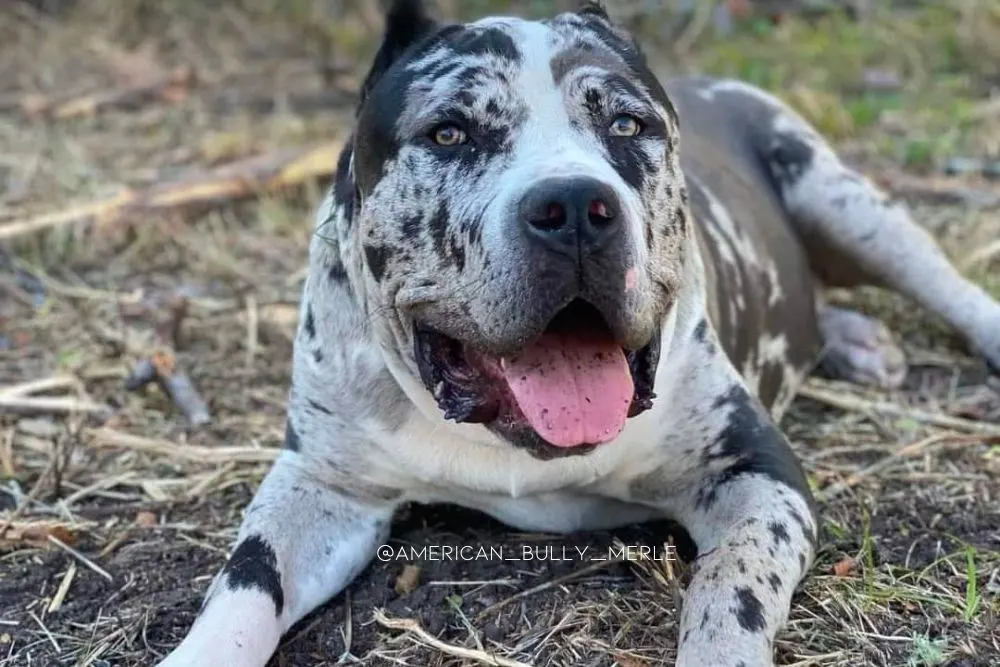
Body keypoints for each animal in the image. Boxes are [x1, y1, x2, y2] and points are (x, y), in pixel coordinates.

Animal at [154, 2, 1000, 664]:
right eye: (450, 132)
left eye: (627, 123)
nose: (572, 207)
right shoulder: (322, 485)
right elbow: (240, 587)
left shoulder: (758, 474)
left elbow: (730, 587)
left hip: (844, 199)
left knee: (947, 286)